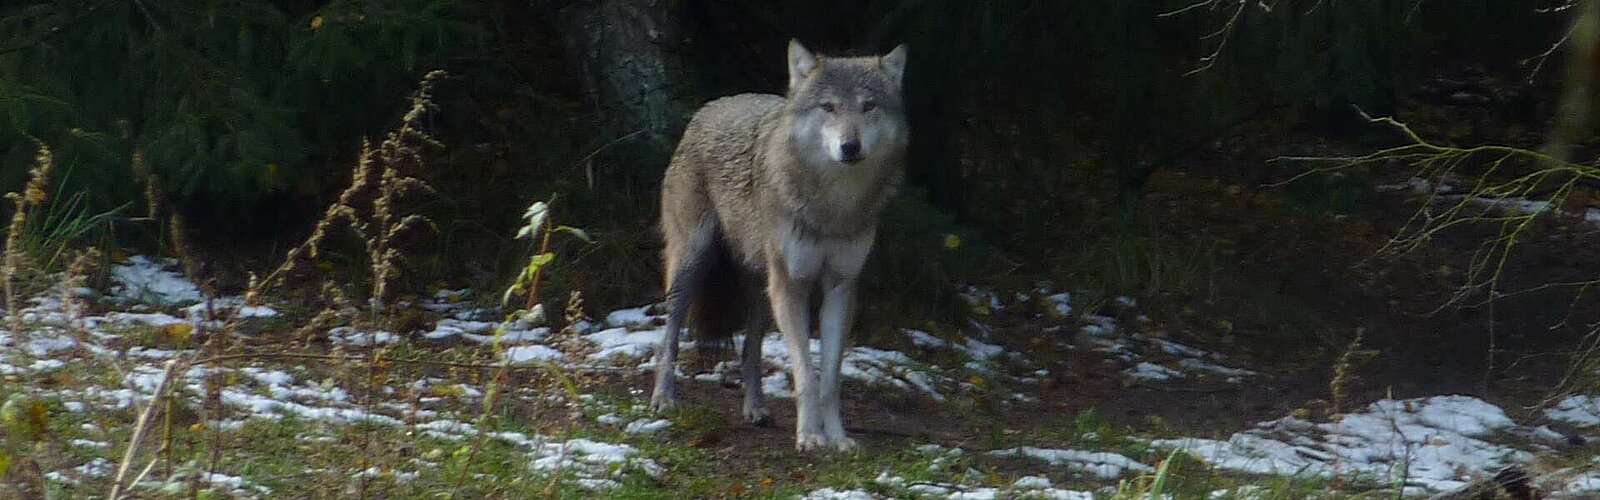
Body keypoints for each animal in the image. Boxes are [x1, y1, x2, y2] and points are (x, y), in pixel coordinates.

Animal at [646, 40, 902, 451]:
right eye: (828, 107)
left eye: (868, 106)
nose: (850, 146)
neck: (833, 207)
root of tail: (709, 107)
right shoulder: (792, 285)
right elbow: (806, 376)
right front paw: (810, 437)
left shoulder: (840, 288)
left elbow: (829, 379)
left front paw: (838, 438)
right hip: (693, 267)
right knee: (667, 339)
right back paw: (664, 398)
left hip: (763, 290)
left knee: (749, 351)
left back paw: (756, 410)